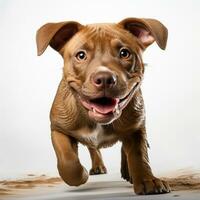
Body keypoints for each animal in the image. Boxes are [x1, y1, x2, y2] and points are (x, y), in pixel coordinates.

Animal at [36, 18, 170, 195]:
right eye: (81, 55)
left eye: (124, 53)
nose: (105, 78)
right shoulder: (58, 130)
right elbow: (68, 161)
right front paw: (81, 174)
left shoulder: (136, 127)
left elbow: (139, 154)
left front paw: (147, 180)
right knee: (92, 148)